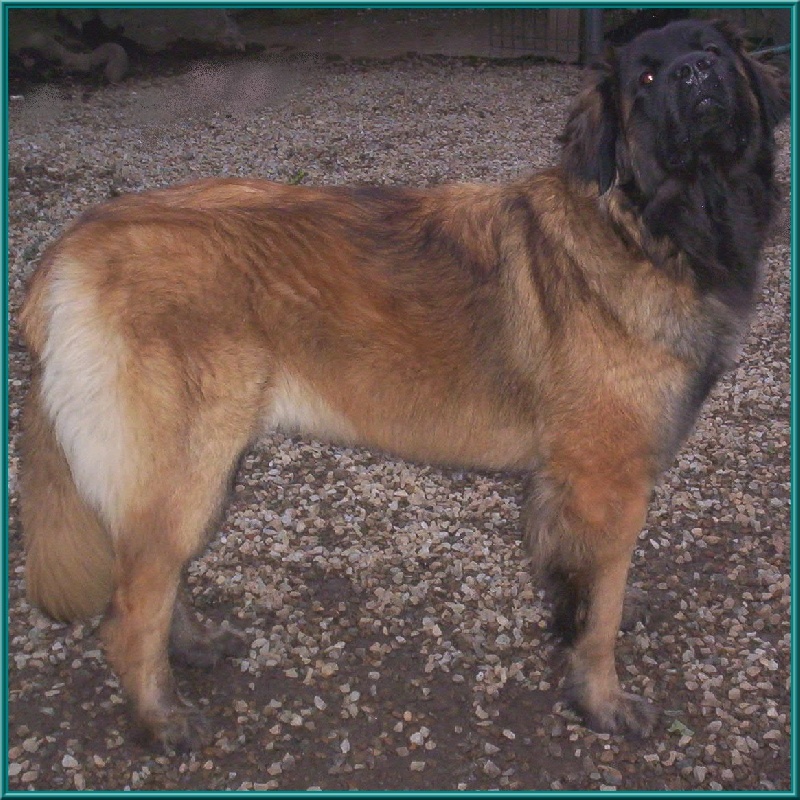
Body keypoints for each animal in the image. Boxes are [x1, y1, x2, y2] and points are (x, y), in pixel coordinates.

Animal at [19, 20, 787, 750]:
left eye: (714, 49)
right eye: (647, 78)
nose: (697, 72)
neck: (644, 227)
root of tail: (75, 242)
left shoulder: (564, 480)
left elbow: (574, 575)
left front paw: (572, 628)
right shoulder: (612, 480)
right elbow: (602, 608)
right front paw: (600, 700)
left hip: (201, 471)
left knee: (156, 578)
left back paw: (193, 648)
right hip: (187, 468)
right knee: (127, 611)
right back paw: (160, 721)